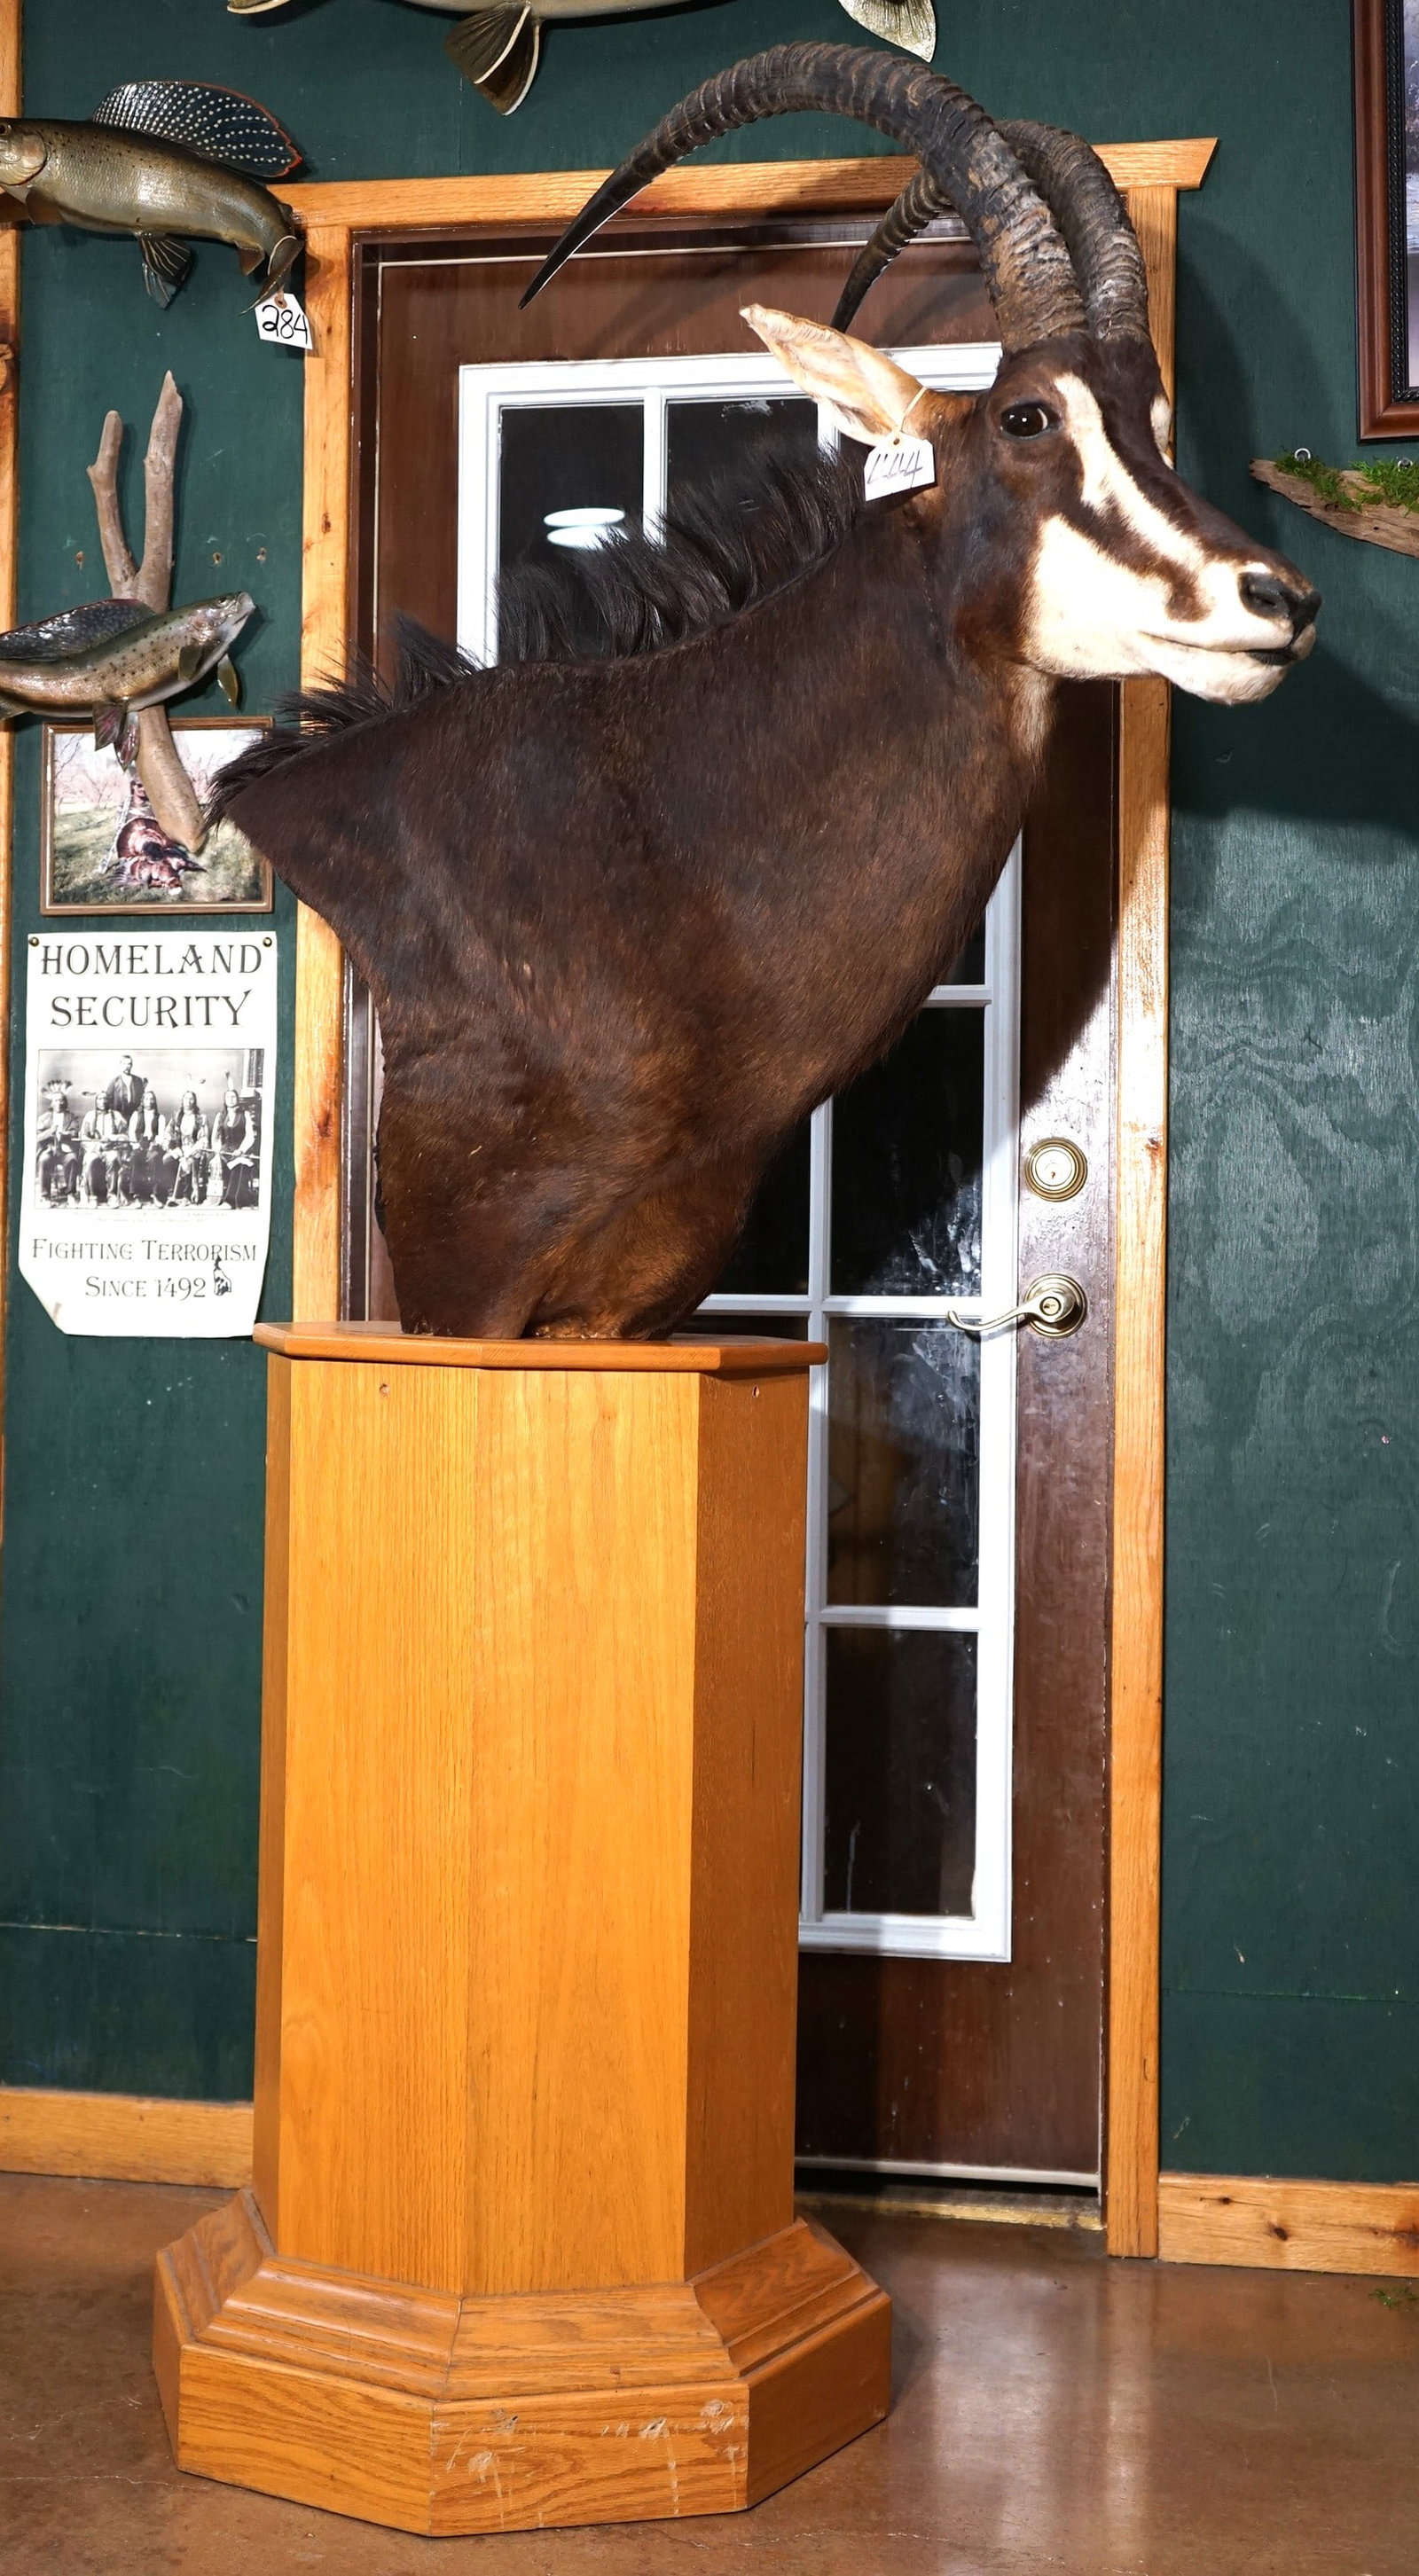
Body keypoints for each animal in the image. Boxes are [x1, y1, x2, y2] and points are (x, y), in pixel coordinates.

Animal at [216, 44, 1318, 1341]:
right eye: (1027, 415)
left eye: (1156, 426)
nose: (1279, 601)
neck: (643, 854)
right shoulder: (463, 1293)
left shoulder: (635, 1305)